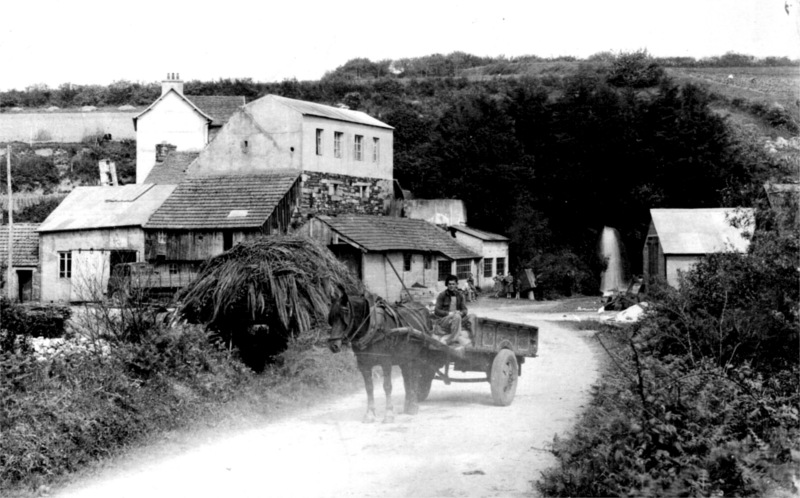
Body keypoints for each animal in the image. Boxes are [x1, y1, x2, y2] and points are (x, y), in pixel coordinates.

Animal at [328, 288, 434, 424]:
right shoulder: (363, 365)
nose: (333, 345)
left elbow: (387, 386)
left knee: (415, 376)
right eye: (331, 317)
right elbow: (369, 388)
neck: (372, 327)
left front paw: (388, 414)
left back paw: (413, 405)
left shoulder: (386, 362)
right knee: (407, 377)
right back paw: (408, 405)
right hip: (405, 357)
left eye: (345, 314)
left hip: (418, 355)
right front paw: (369, 414)